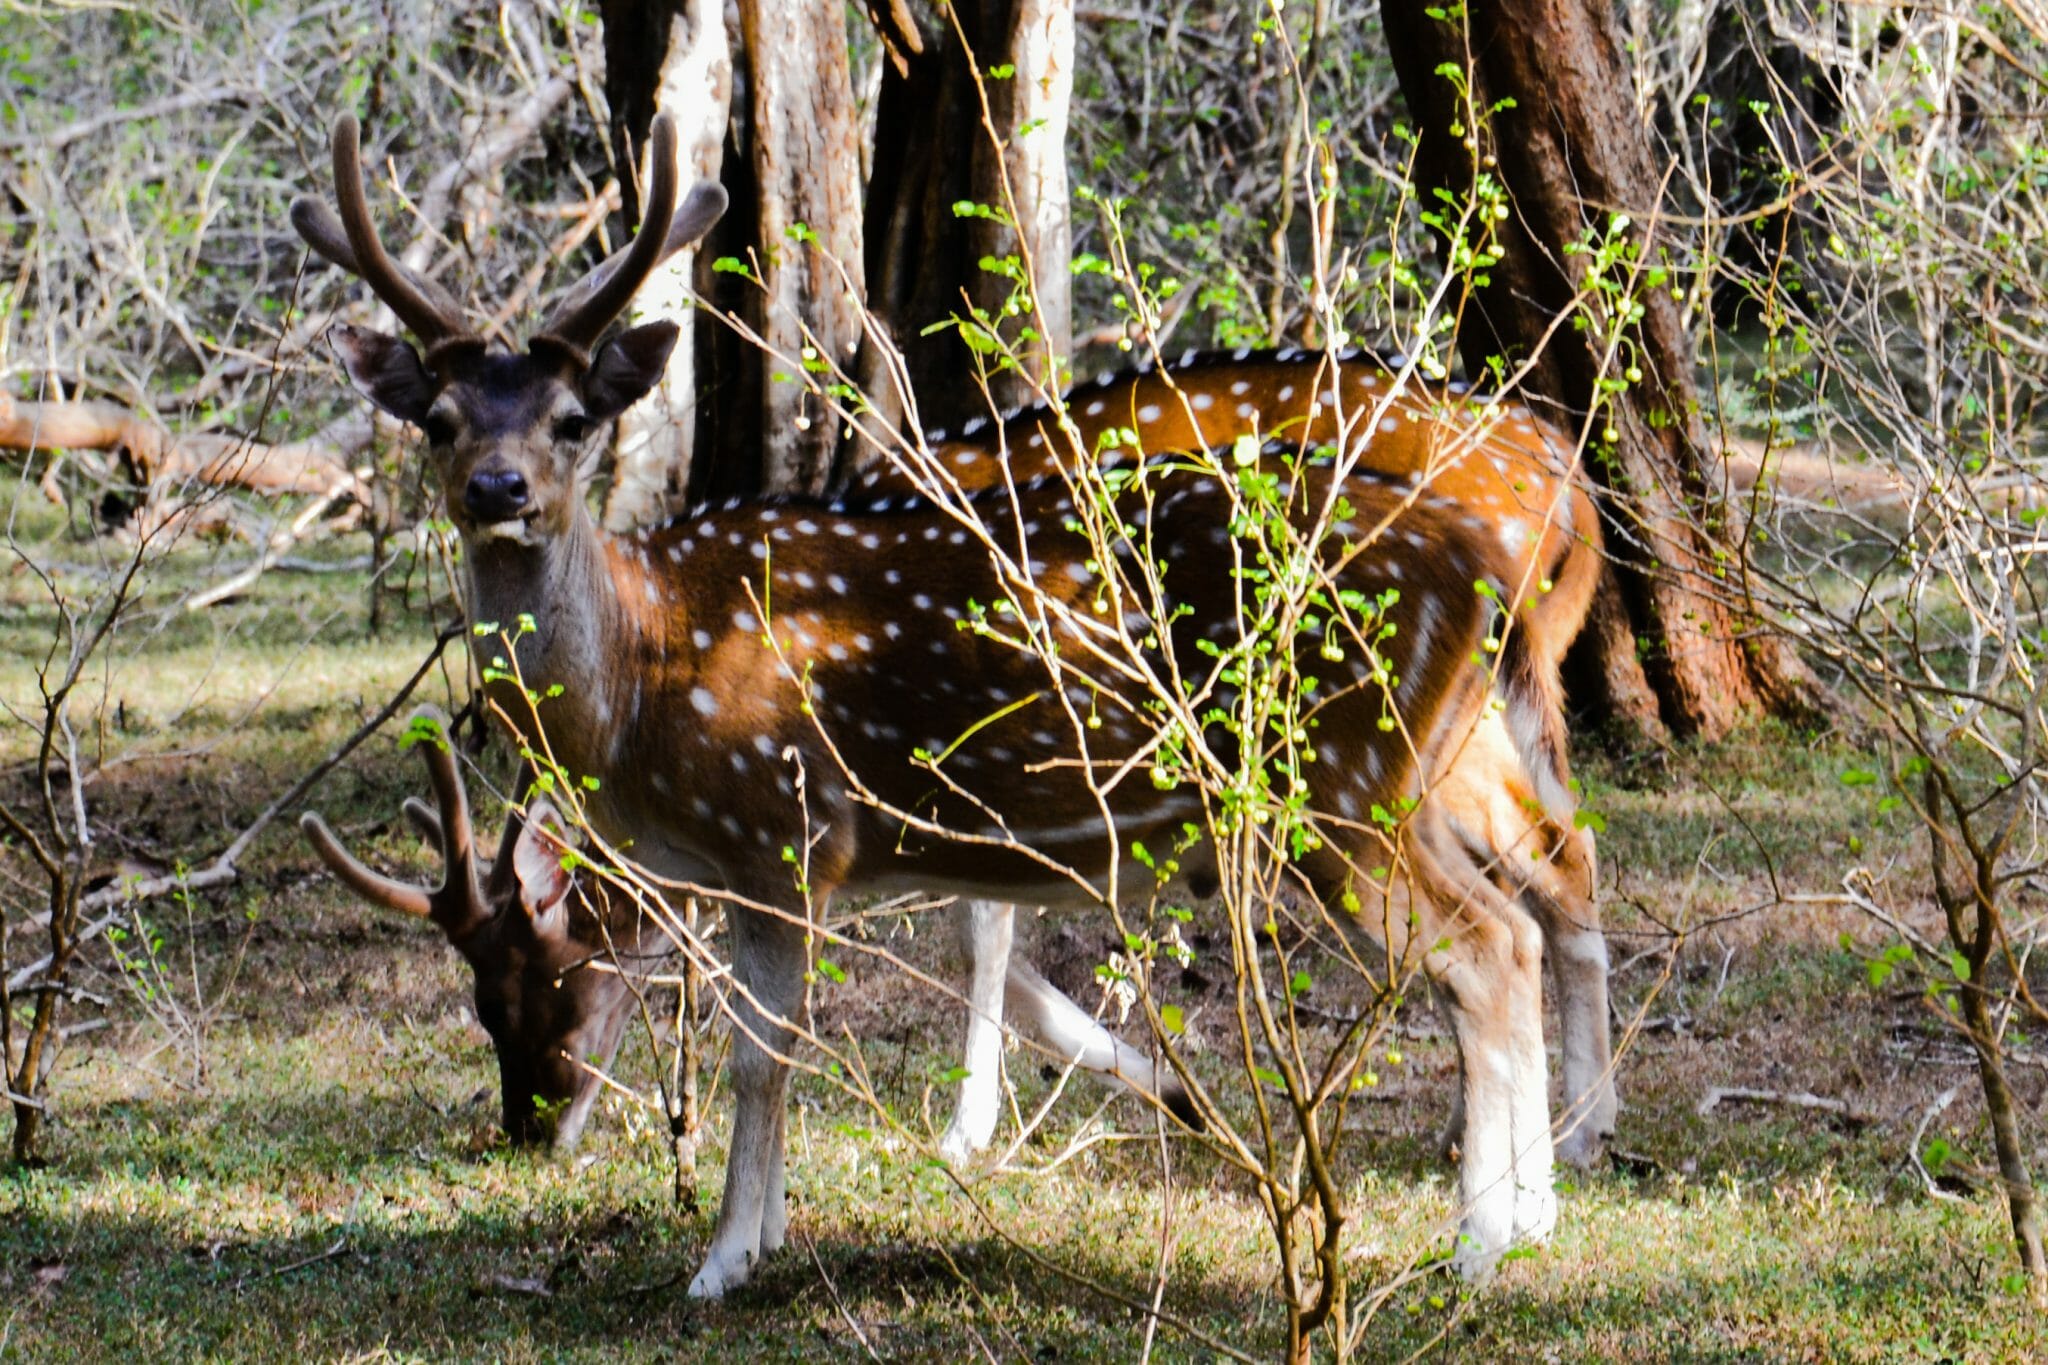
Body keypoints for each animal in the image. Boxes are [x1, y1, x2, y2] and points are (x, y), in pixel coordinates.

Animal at [292, 109, 1564, 1293]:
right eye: (437, 420)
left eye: (571, 420)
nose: (497, 488)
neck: (647, 687)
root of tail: (1483, 569)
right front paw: (765, 1232)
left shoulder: (784, 828)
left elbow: (766, 1051)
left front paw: (723, 1262)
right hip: (1414, 770)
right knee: (1524, 918)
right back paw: (1524, 1220)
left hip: (1339, 781)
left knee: (1481, 948)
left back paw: (1481, 1245)